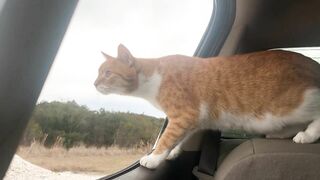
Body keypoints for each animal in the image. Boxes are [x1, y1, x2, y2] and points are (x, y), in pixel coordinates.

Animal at [94, 44, 320, 169]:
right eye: (99, 72)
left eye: (107, 73)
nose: (94, 84)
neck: (152, 79)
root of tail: (312, 63)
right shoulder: (193, 119)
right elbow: (180, 136)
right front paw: (173, 152)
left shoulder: (184, 114)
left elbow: (166, 137)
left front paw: (154, 158)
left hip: (296, 103)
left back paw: (307, 135)